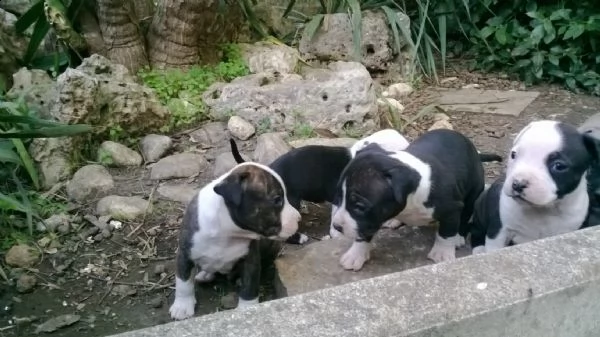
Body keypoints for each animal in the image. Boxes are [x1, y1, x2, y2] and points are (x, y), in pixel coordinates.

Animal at [169, 161, 300, 318]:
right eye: (277, 200)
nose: (299, 217)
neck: (227, 232)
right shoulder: (184, 254)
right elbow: (183, 282)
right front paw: (182, 305)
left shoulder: (251, 260)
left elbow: (249, 286)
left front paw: (248, 308)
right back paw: (205, 274)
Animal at [328, 129, 502, 270]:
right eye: (338, 198)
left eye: (359, 206)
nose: (337, 226)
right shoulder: (368, 221)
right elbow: (362, 233)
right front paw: (355, 254)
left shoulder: (452, 209)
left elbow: (446, 233)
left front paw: (442, 253)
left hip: (473, 191)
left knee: (466, 213)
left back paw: (458, 237)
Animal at [472, 119, 596, 253]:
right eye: (513, 155)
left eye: (559, 166)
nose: (518, 183)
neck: (543, 210)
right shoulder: (499, 232)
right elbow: (494, 248)